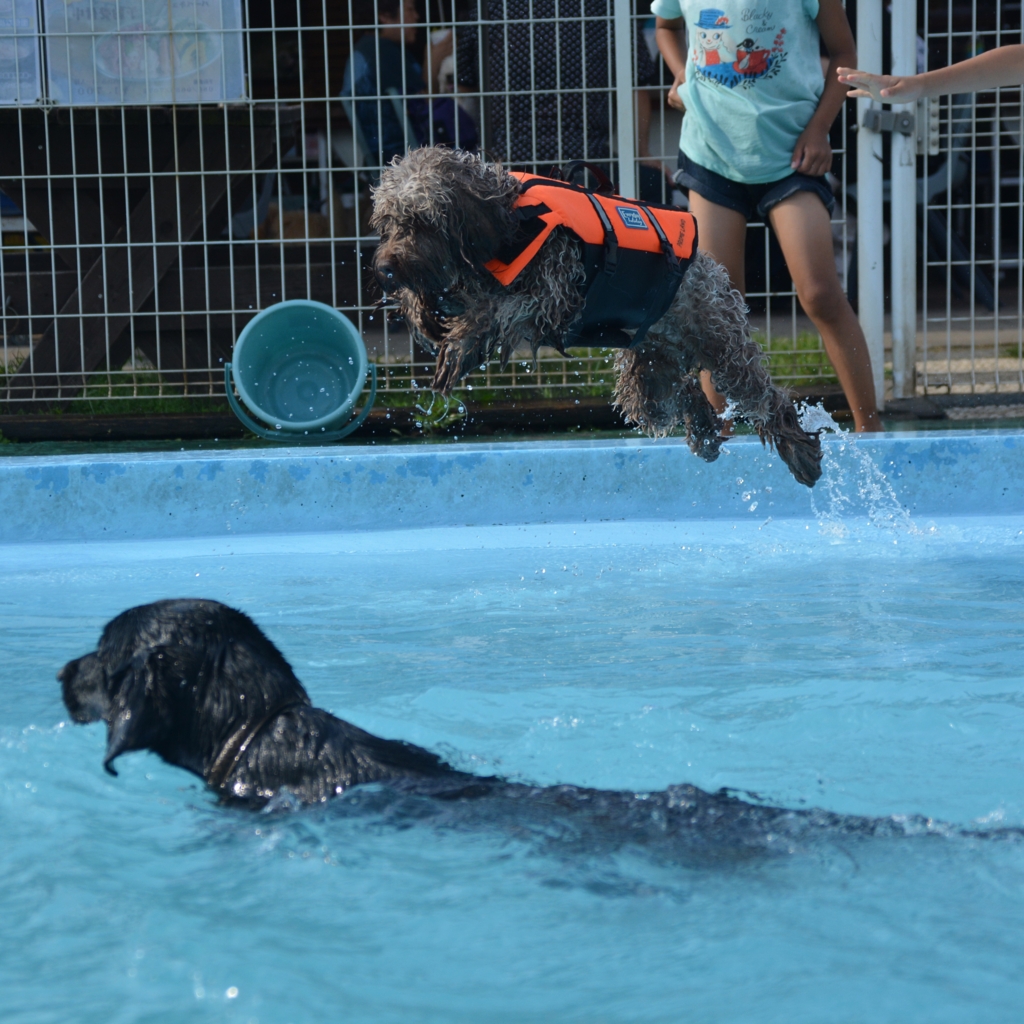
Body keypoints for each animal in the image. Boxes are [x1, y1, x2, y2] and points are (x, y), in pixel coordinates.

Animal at [372, 146, 819, 489]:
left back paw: (799, 450)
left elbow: (499, 309)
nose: (385, 268)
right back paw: (705, 429)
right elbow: (466, 298)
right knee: (684, 392)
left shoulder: (553, 298)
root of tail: (711, 269)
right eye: (389, 223)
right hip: (649, 380)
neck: (512, 220)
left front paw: (459, 345)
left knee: (769, 400)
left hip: (723, 347)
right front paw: (422, 311)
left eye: (422, 221)